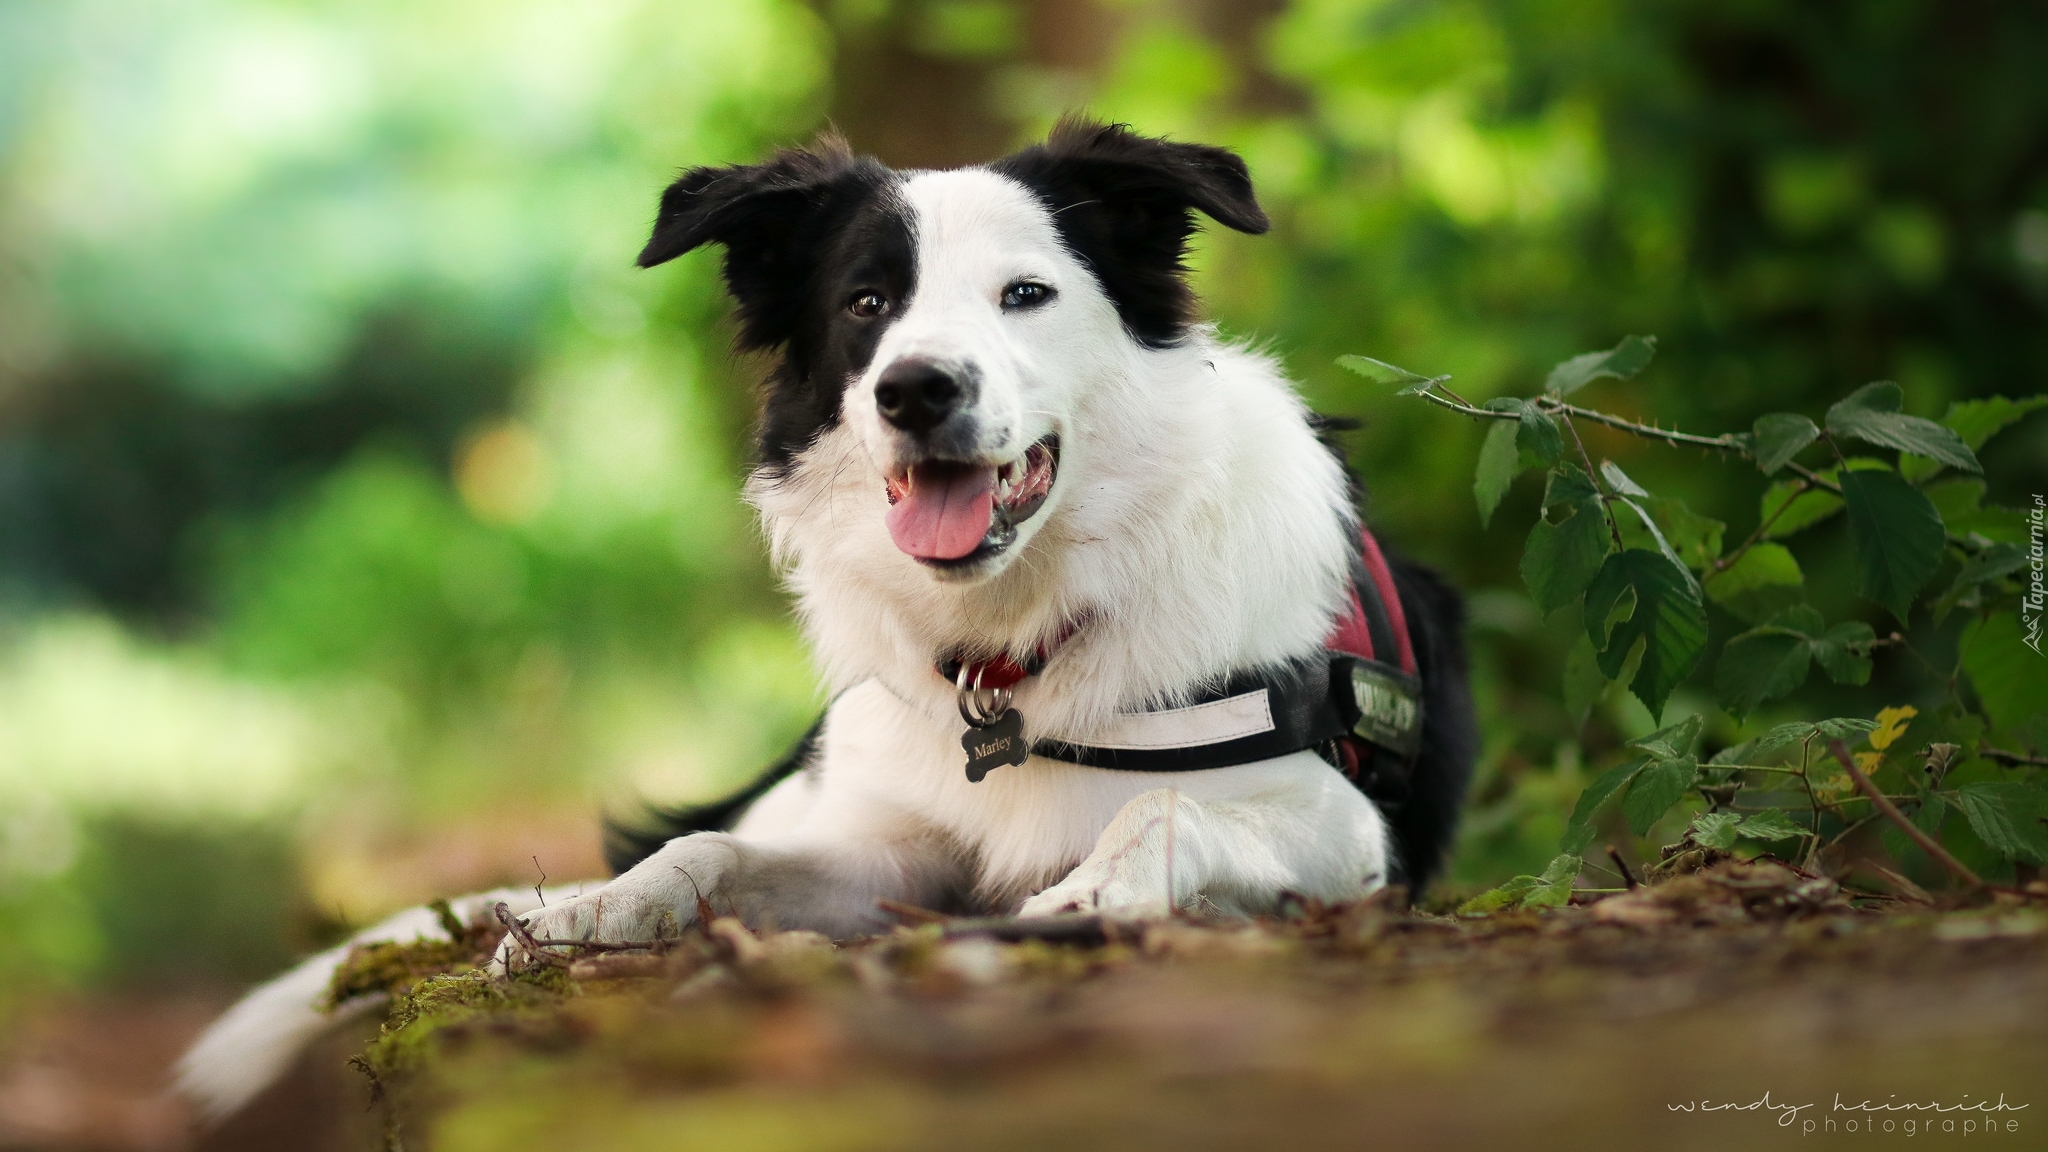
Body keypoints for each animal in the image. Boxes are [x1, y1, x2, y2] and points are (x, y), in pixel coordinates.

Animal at [167, 120, 1466, 1115]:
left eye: (1026, 296)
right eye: (865, 303)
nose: (915, 389)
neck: (1016, 644)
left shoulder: (1347, 828)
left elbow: (1158, 813)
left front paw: (1087, 898)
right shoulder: (890, 850)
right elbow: (705, 852)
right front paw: (593, 915)